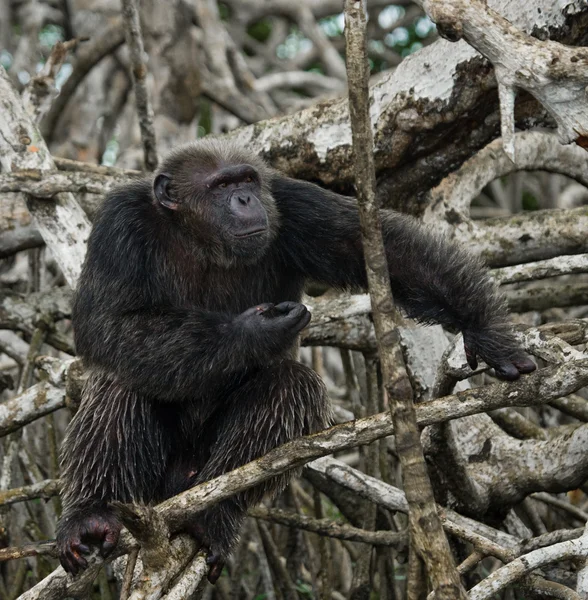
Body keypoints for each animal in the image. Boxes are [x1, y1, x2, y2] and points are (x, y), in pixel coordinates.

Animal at [57, 139, 536, 580]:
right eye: (220, 186)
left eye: (247, 180)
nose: (245, 199)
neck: (196, 236)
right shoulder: (119, 225)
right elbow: (109, 322)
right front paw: (255, 331)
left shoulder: (294, 204)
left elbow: (384, 251)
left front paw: (486, 331)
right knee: (124, 381)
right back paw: (93, 517)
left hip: (192, 472)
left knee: (291, 384)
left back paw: (213, 517)